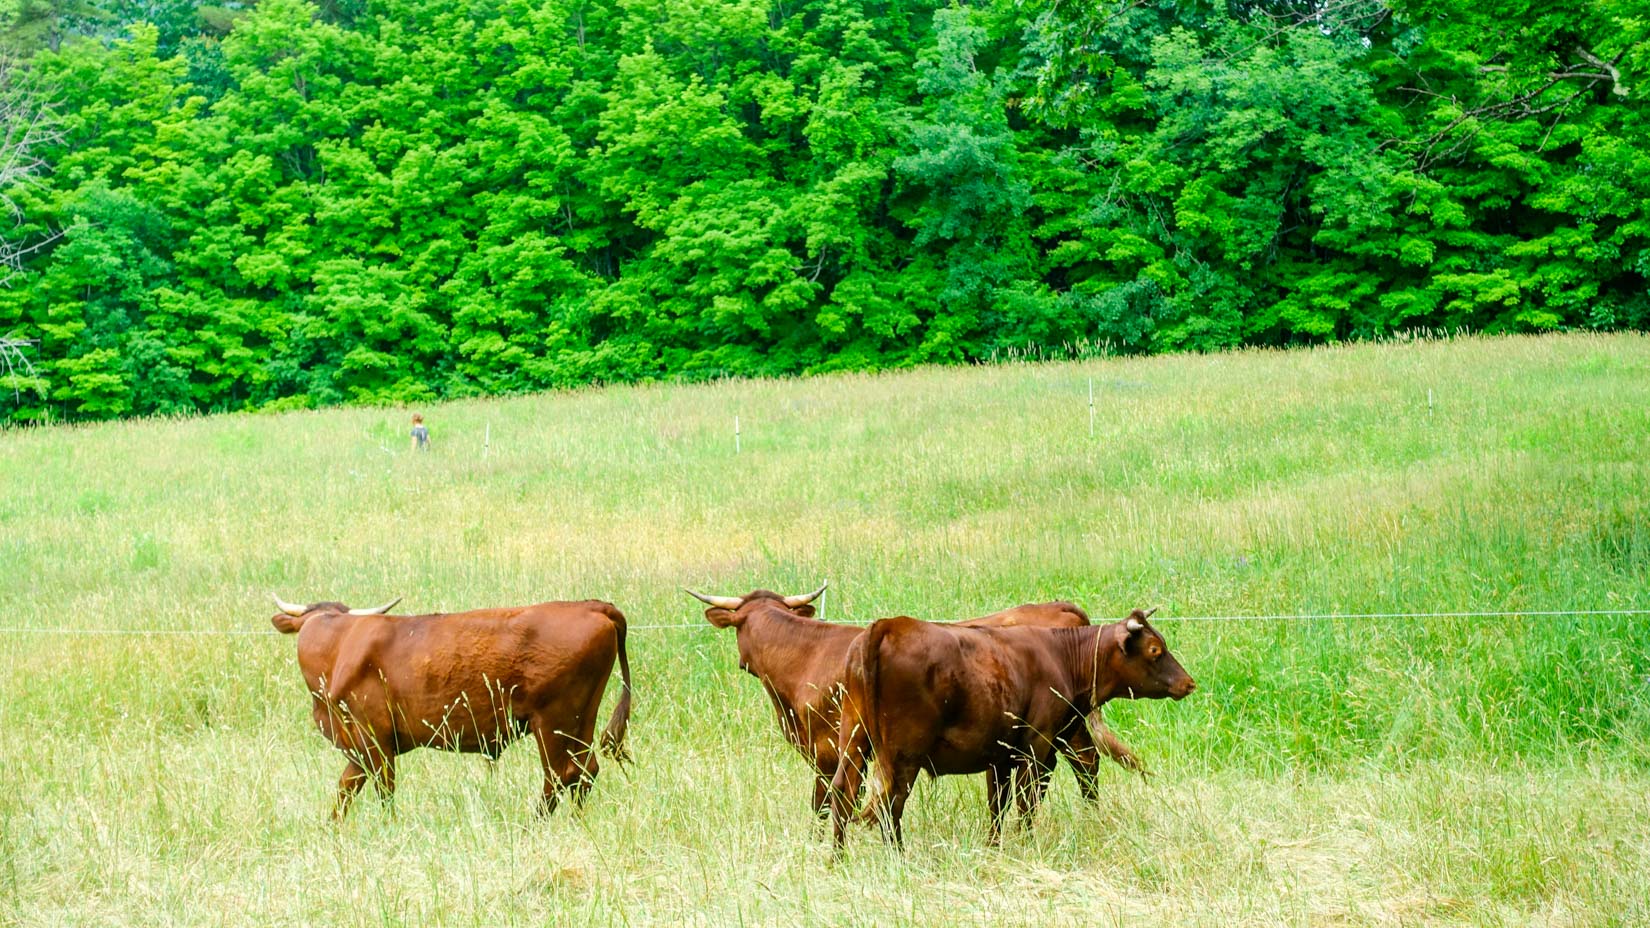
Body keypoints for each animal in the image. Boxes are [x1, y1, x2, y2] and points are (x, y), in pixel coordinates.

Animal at [270, 591, 630, 815]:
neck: (337, 647)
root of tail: (592, 606)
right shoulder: (358, 746)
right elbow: (345, 789)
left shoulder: (376, 740)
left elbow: (385, 791)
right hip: (579, 721)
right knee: (584, 771)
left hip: (554, 722)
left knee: (560, 775)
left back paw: (534, 825)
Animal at [831, 607, 1194, 845]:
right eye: (1155, 650)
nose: (1189, 683)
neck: (1058, 654)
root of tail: (888, 626)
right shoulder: (1037, 747)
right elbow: (1026, 800)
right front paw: (1026, 841)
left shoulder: (1000, 755)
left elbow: (998, 804)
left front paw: (995, 845)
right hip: (903, 754)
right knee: (890, 802)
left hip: (854, 739)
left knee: (843, 792)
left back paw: (838, 857)